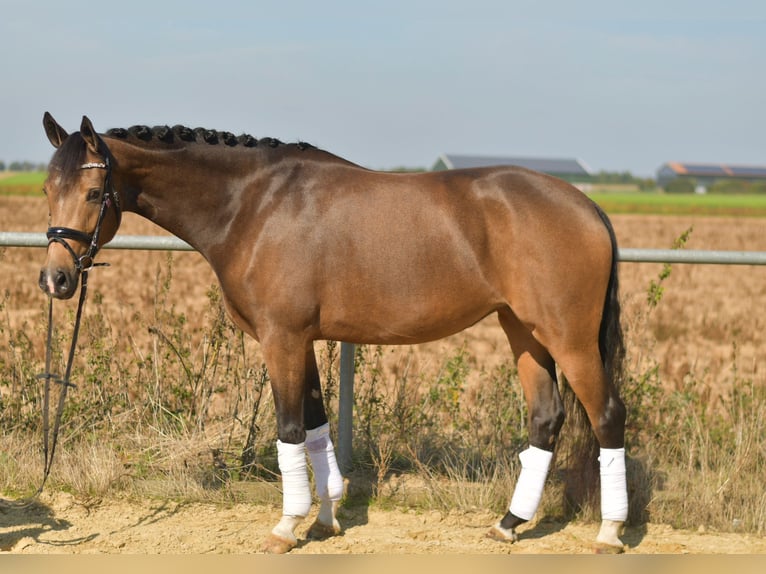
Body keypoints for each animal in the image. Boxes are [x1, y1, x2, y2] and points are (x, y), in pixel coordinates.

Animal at [38, 113, 628, 553]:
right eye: (47, 188)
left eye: (94, 191)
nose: (56, 279)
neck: (253, 207)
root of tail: (588, 205)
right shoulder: (303, 342)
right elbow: (318, 427)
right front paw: (325, 518)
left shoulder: (281, 339)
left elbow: (290, 429)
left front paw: (285, 527)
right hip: (522, 330)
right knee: (546, 418)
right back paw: (508, 524)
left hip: (569, 339)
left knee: (606, 415)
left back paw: (609, 533)